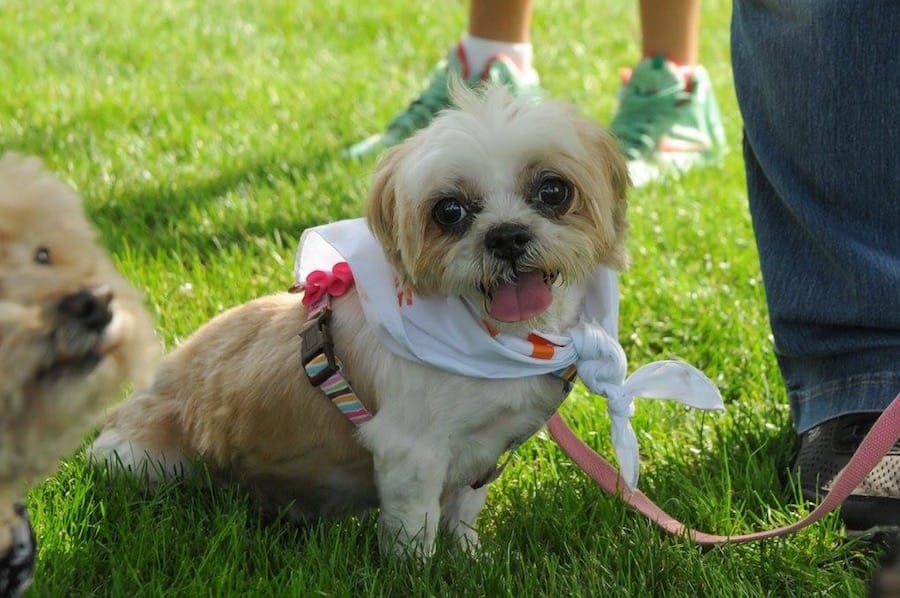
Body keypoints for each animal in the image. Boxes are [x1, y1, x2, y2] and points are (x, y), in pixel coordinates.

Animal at [92, 86, 629, 558]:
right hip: (139, 461)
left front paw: (472, 559)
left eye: (554, 190)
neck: (501, 341)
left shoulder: (482, 457)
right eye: (449, 211)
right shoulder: (411, 453)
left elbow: (463, 516)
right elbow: (415, 530)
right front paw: (420, 574)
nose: (506, 236)